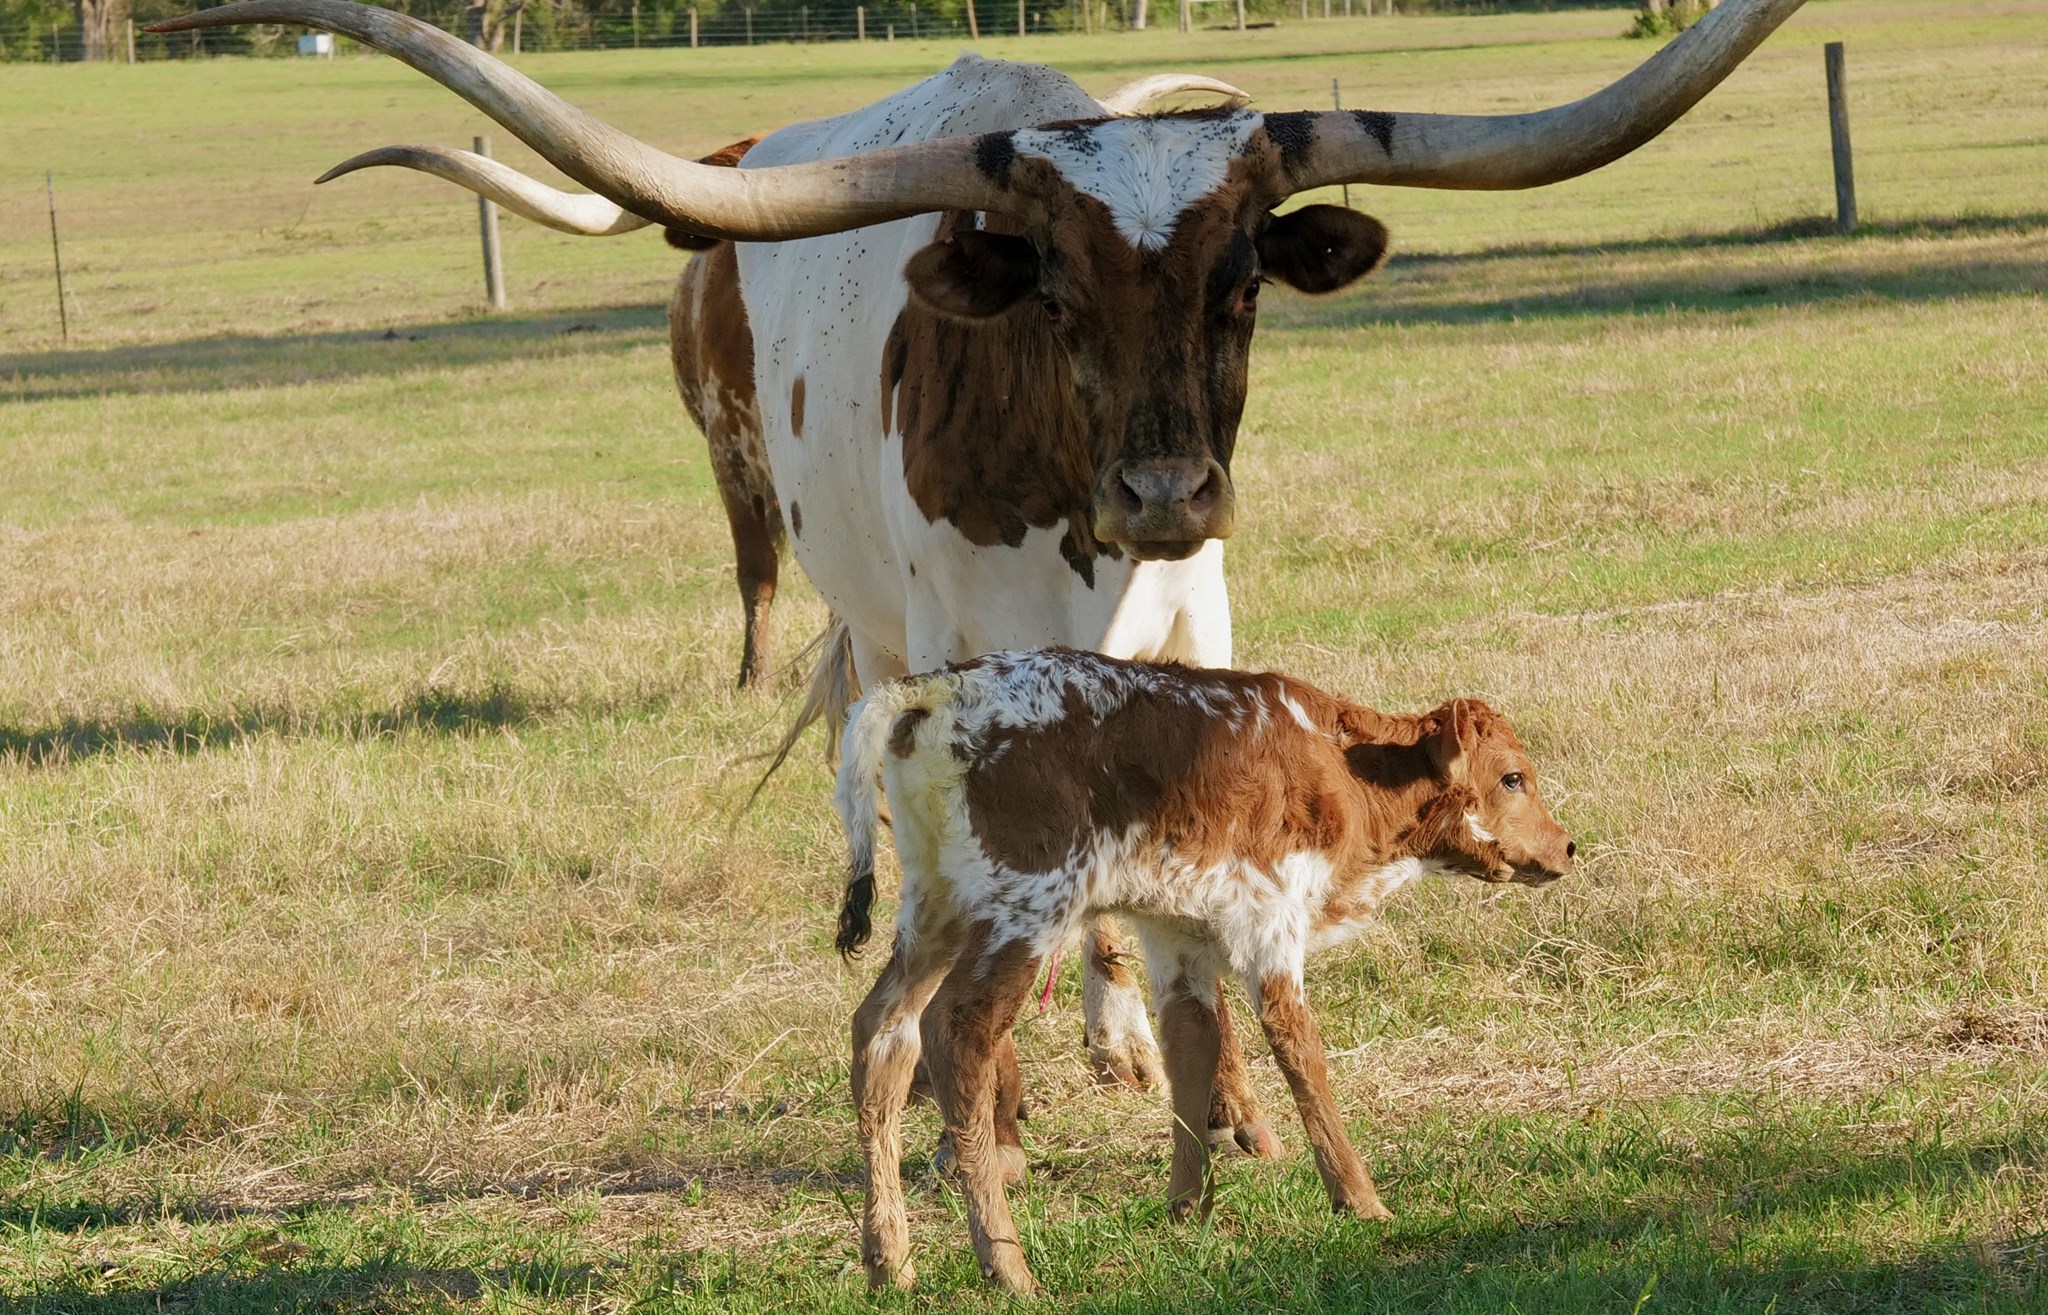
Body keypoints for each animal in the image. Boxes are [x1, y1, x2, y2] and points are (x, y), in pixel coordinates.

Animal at [153, 0, 1808, 1157]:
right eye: (1055, 286)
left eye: (1242, 281)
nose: (1165, 490)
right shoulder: (957, 653)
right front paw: (998, 1095)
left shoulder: (1196, 623)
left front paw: (1180, 1068)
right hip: (853, 601)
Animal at [831, 648, 1574, 1293]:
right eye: (1513, 777)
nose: (1567, 845)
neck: (1339, 766)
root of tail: (941, 685)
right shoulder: (1271, 924)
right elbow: (1299, 1050)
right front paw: (1359, 1198)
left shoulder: (1177, 936)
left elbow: (1193, 1046)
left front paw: (1187, 1207)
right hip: (1025, 908)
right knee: (958, 1031)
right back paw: (1005, 1263)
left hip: (936, 909)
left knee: (882, 1031)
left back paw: (889, 1259)